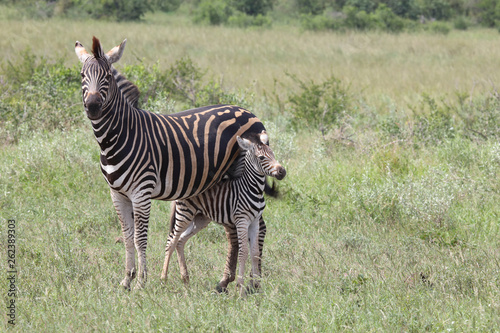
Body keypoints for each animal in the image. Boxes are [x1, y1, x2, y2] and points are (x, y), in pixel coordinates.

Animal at [74, 37, 268, 290]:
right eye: (81, 75)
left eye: (107, 76)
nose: (93, 106)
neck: (118, 137)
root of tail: (249, 111)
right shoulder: (117, 193)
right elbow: (126, 236)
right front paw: (127, 279)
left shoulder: (141, 192)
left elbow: (140, 237)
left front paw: (141, 282)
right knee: (233, 231)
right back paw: (225, 281)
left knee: (259, 227)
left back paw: (255, 283)